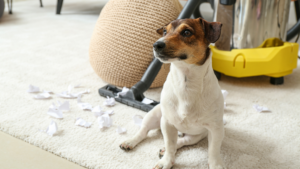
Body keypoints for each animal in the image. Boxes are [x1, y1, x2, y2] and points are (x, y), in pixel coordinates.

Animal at [119, 17, 225, 168]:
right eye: (164, 31)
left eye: (186, 32)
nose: (156, 44)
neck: (185, 82)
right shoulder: (167, 123)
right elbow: (169, 144)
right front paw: (166, 162)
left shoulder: (215, 129)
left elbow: (214, 150)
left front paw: (216, 164)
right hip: (154, 115)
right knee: (143, 131)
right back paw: (130, 141)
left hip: (196, 136)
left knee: (182, 141)